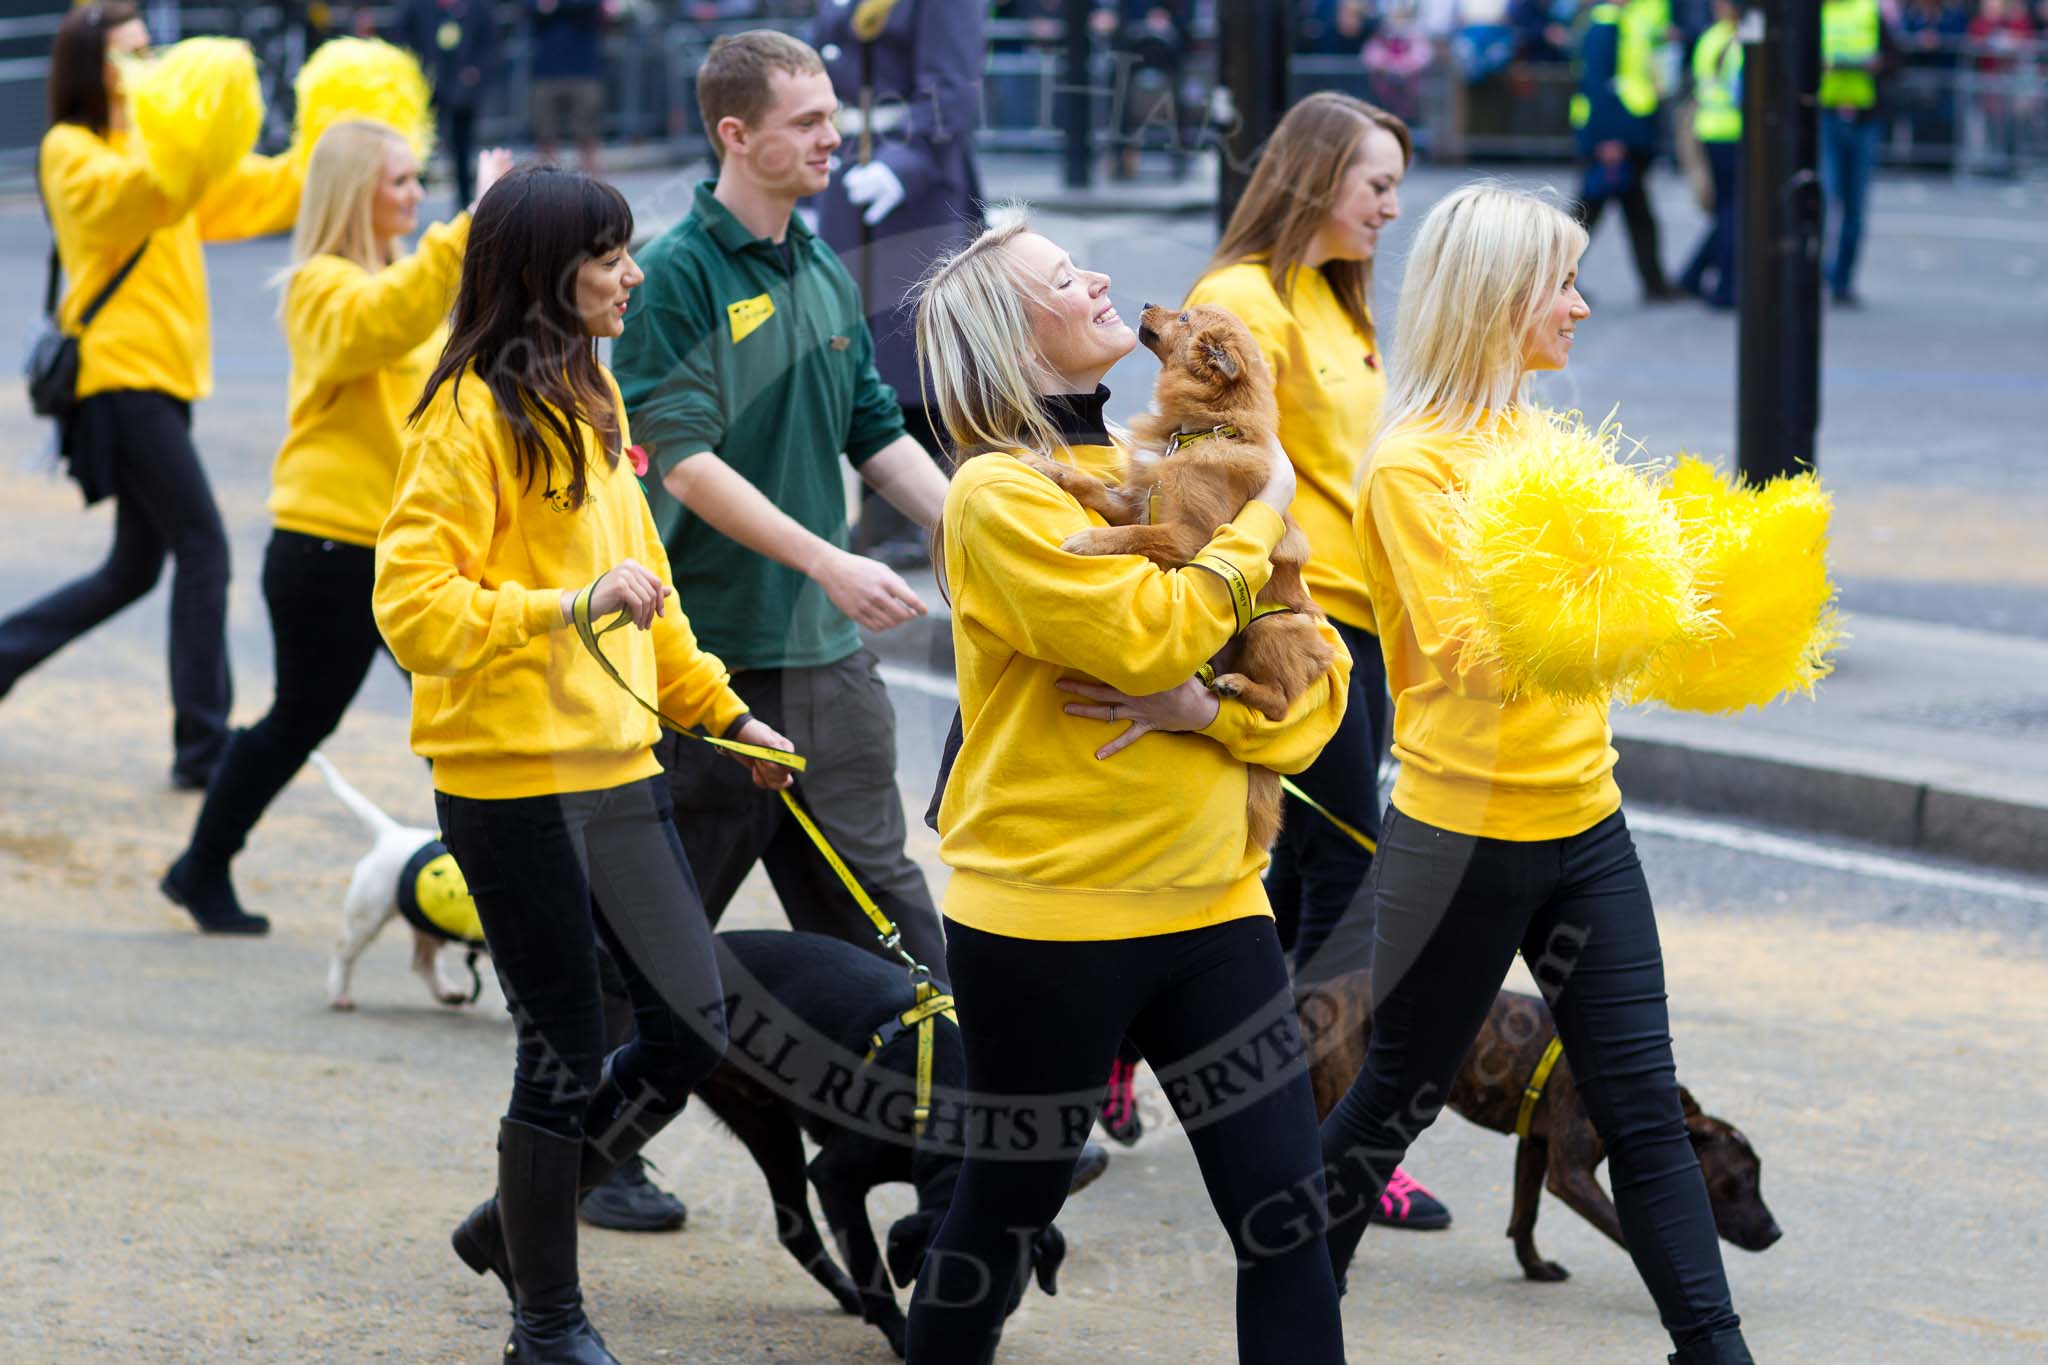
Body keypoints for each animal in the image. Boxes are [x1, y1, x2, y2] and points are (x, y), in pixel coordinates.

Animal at [307, 753, 491, 1010]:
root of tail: (391, 834)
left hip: (425, 922)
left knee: (423, 961)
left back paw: (447, 992)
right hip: (367, 917)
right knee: (343, 952)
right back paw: (338, 994)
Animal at [700, 933, 1064, 1358]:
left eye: (1007, 1307)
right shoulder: (834, 1177)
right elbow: (870, 1265)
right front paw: (897, 1331)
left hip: (767, 1127)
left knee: (794, 1229)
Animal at [1032, 304, 1335, 847]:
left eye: (1186, 318)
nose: (1146, 303)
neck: (1197, 434)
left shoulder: (1193, 538)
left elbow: (1134, 536)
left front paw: (1088, 543)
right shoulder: (1135, 500)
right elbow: (1097, 488)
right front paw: (1050, 470)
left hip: (1271, 626)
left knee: (1280, 705)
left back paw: (1237, 686)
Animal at [1302, 970, 1785, 1285]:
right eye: (1739, 1182)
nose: (1777, 1233)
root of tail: (1318, 990)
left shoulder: (1534, 1149)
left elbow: (1524, 1215)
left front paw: (1534, 1268)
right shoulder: (1571, 1174)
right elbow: (1619, 1225)